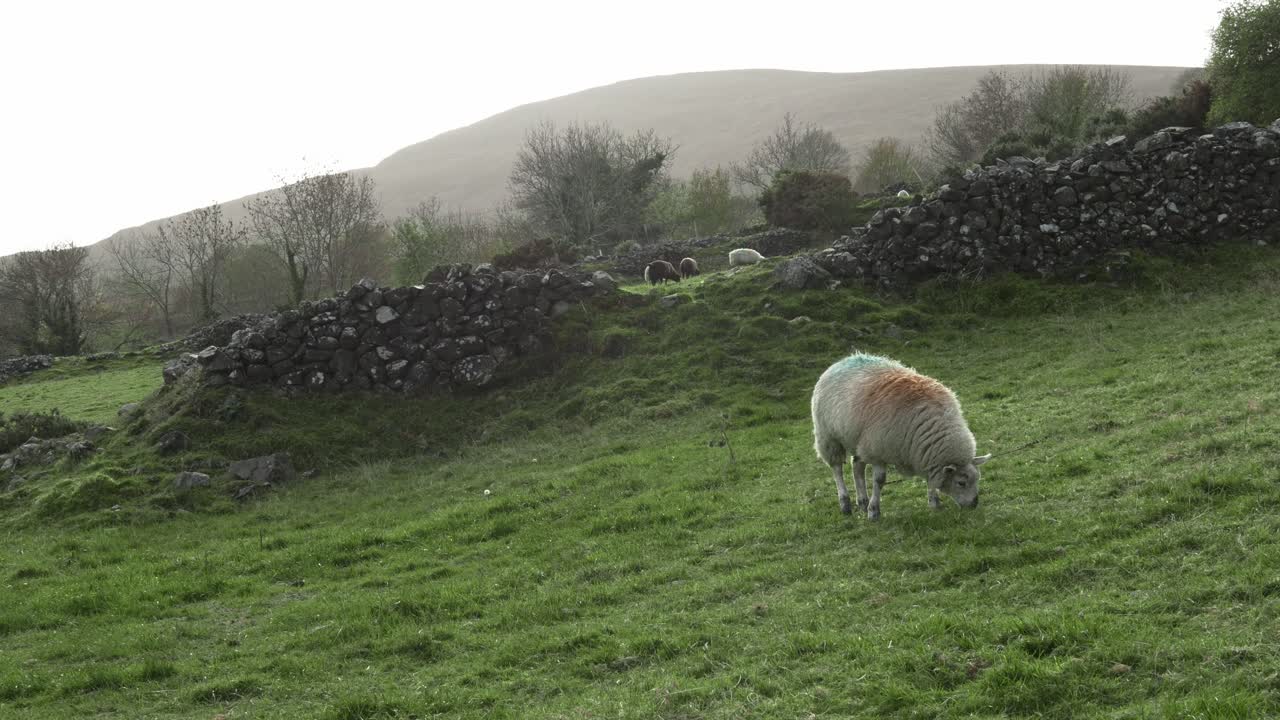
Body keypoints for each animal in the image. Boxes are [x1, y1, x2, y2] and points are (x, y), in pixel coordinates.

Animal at [811, 353, 990, 519]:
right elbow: (879, 481)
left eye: (977, 479)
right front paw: (874, 511)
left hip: (858, 439)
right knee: (837, 468)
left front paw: (934, 503)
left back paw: (862, 501)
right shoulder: (878, 451)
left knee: (857, 467)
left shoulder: (922, 451)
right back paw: (845, 504)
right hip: (829, 437)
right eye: (961, 483)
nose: (974, 504)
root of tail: (844, 359)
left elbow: (930, 478)